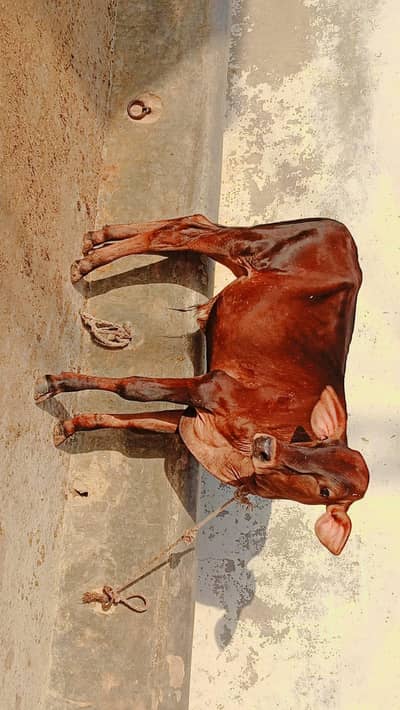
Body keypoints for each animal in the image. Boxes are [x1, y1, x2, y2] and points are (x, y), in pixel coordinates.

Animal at [34, 214, 369, 555]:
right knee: (180, 234)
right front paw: (57, 382)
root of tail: (343, 234)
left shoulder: (189, 418)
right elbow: (136, 387)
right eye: (318, 442)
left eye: (326, 491)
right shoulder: (212, 388)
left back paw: (96, 240)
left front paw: (70, 425)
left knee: (192, 223)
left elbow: (130, 422)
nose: (266, 448)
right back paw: (88, 262)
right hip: (250, 244)